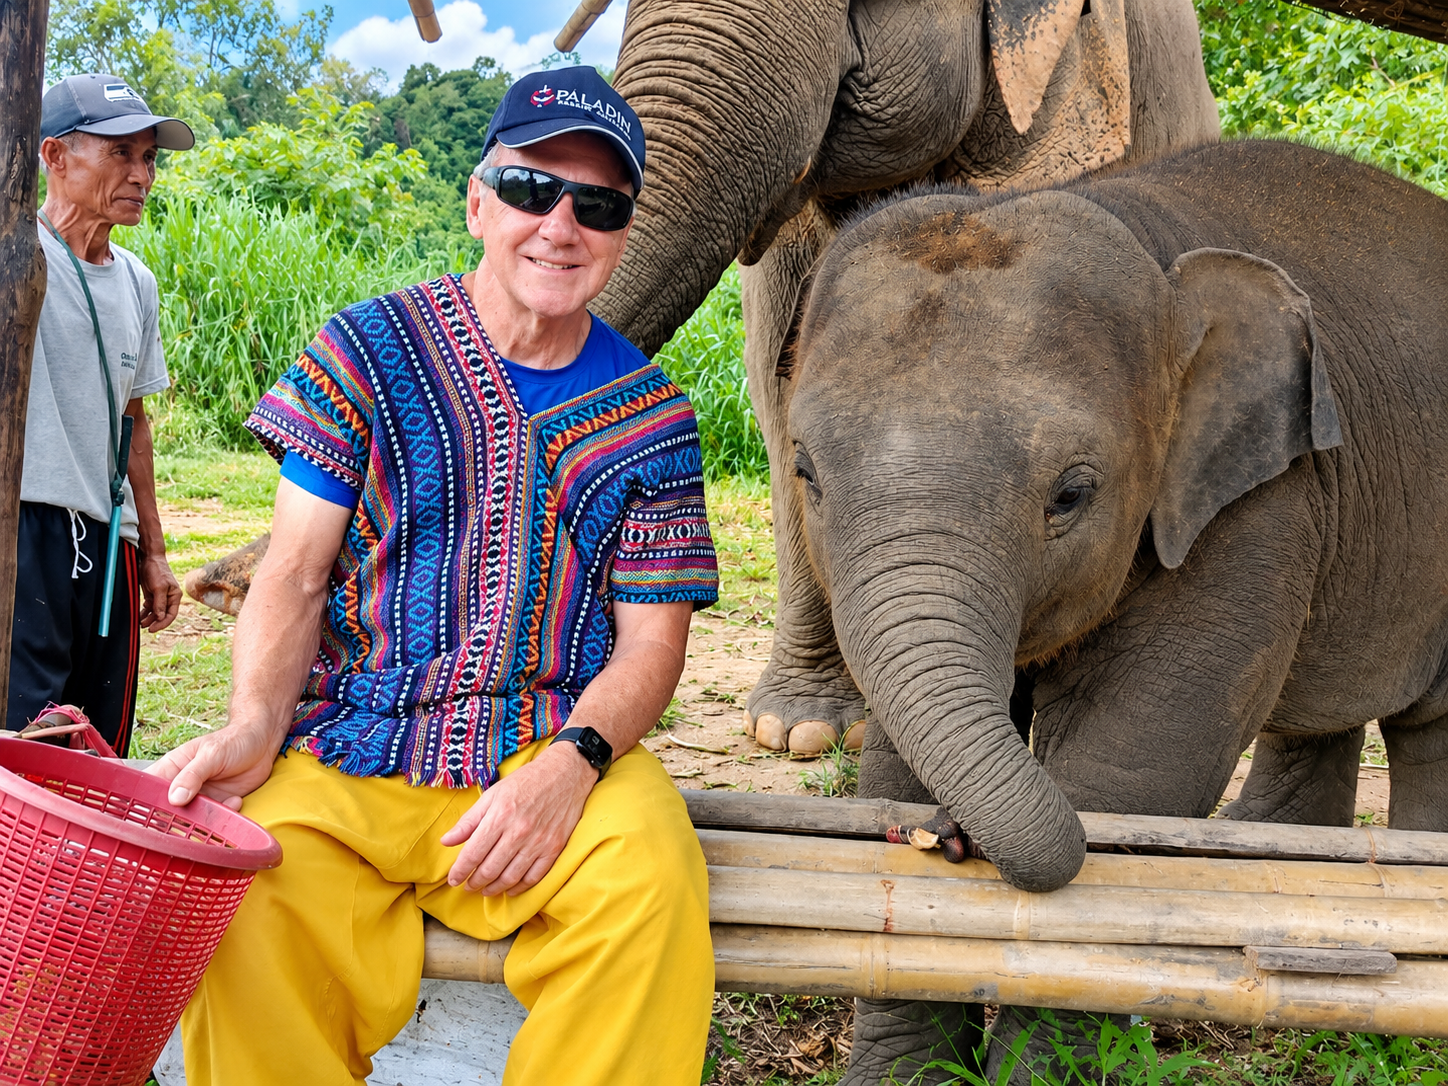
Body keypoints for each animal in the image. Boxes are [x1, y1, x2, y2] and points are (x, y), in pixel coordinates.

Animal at [781, 137, 1448, 1082]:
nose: (953, 835)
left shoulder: (1258, 504)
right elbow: (892, 766)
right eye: (805, 471)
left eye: (1071, 494)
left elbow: (1138, 758)